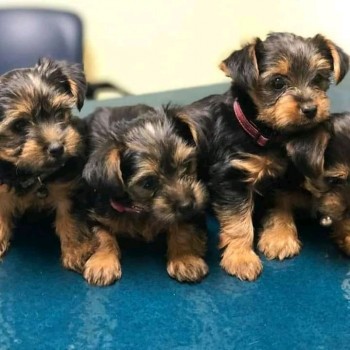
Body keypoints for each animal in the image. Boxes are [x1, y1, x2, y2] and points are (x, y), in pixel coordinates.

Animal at [0, 57, 94, 272]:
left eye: (59, 114)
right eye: (19, 125)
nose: (57, 148)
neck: (32, 174)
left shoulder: (70, 187)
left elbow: (70, 218)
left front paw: (76, 250)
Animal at [82, 105, 208, 286]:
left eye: (186, 165)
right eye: (148, 183)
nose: (187, 205)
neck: (141, 208)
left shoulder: (195, 212)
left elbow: (184, 228)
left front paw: (185, 258)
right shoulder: (95, 212)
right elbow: (101, 235)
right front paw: (102, 263)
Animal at [179, 31, 348, 280]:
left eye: (318, 78)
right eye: (278, 82)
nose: (310, 109)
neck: (262, 131)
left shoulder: (278, 178)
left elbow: (278, 205)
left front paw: (278, 238)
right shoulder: (231, 178)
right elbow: (238, 221)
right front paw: (241, 257)